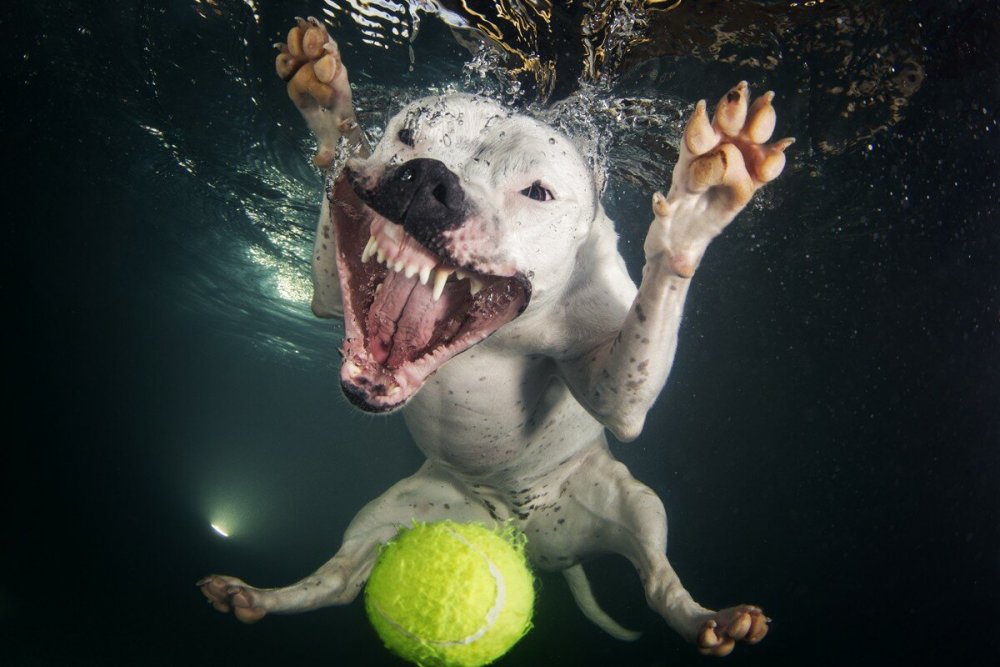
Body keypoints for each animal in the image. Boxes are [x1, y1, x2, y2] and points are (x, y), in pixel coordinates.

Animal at [203, 15, 792, 656]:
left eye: (536, 191)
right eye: (408, 134)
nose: (428, 177)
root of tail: (521, 534)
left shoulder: (617, 392)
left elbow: (639, 349)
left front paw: (698, 207)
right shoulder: (331, 295)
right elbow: (341, 190)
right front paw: (330, 110)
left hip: (635, 503)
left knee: (658, 579)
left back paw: (709, 619)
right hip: (393, 513)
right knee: (339, 578)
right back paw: (258, 598)